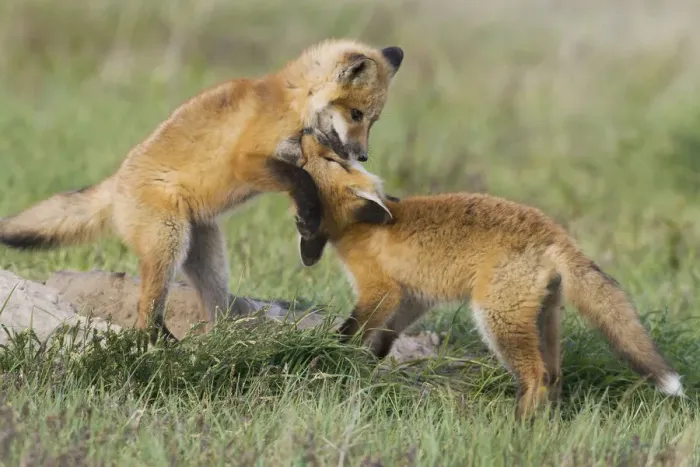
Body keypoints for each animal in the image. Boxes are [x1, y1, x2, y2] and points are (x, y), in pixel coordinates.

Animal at [0, 39, 404, 343]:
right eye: (356, 115)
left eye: (373, 120)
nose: (361, 155)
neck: (295, 103)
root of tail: (116, 183)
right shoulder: (249, 160)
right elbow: (301, 181)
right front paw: (309, 219)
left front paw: (310, 229)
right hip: (168, 242)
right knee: (146, 312)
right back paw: (161, 343)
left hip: (209, 258)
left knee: (214, 309)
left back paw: (225, 341)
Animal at [293, 135, 685, 420]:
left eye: (331, 161)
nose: (308, 135)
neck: (359, 226)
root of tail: (554, 233)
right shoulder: (413, 296)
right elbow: (385, 336)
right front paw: (370, 361)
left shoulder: (381, 289)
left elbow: (354, 328)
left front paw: (334, 353)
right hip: (544, 319)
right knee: (554, 376)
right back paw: (545, 426)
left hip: (496, 319)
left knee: (536, 376)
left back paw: (519, 427)